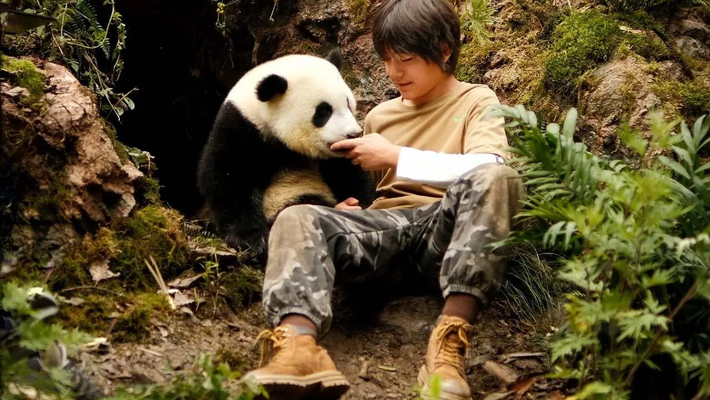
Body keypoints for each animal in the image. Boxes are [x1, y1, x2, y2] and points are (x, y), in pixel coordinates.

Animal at [196, 49, 376, 258]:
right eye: (324, 111)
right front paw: (253, 239)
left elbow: (349, 172)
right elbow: (227, 177)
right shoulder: (241, 128)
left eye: (348, 103)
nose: (353, 134)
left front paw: (364, 203)